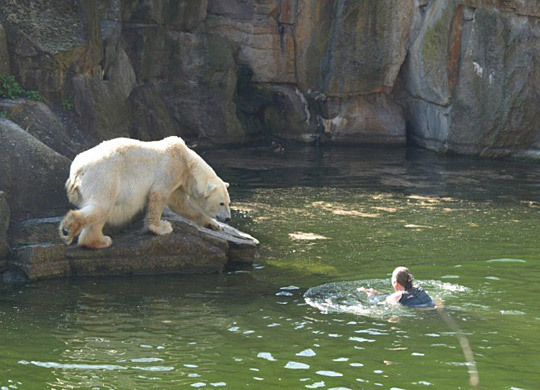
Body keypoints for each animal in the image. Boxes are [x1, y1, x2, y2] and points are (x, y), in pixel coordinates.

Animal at [59, 136, 232, 248]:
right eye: (221, 203)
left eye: (228, 202)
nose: (228, 218)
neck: (187, 161)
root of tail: (77, 171)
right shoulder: (170, 168)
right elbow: (158, 195)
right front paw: (161, 227)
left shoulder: (179, 181)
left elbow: (181, 205)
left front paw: (215, 225)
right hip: (104, 176)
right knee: (102, 206)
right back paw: (75, 228)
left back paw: (97, 240)